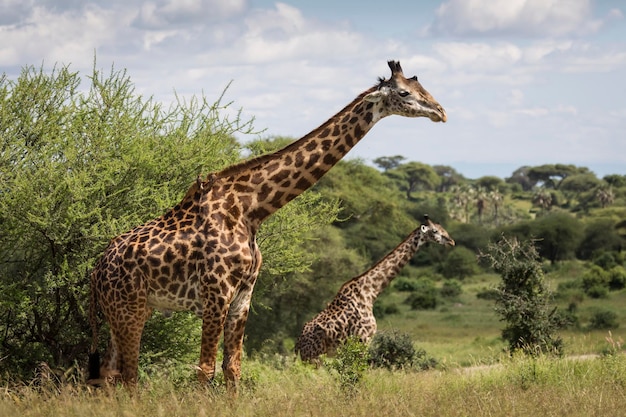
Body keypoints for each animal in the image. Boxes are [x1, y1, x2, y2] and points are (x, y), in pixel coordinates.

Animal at [294, 214, 454, 360]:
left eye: (443, 229)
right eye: (435, 231)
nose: (452, 241)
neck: (370, 292)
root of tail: (298, 343)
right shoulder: (363, 339)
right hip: (313, 357)